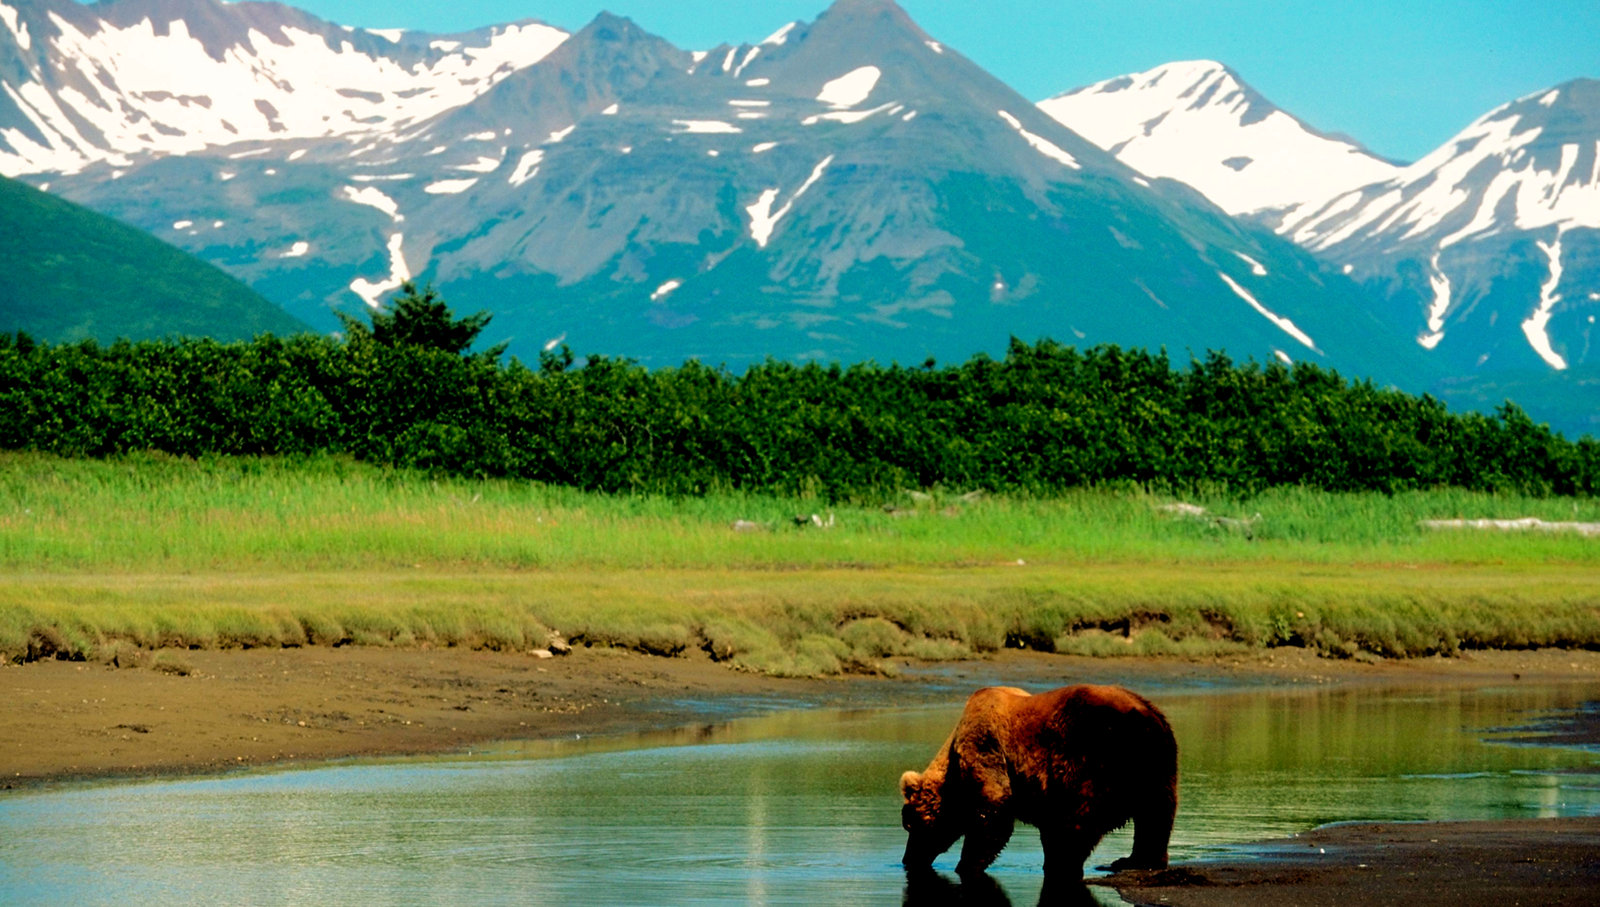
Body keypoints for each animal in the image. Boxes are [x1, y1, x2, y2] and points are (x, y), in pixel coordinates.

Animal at [899, 684, 1178, 879]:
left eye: (910, 824)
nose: (907, 859)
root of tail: (1144, 716)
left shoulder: (984, 746)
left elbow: (994, 810)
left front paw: (965, 865)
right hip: (1158, 763)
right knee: (1155, 816)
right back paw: (1136, 860)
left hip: (1091, 754)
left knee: (1076, 820)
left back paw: (1064, 863)